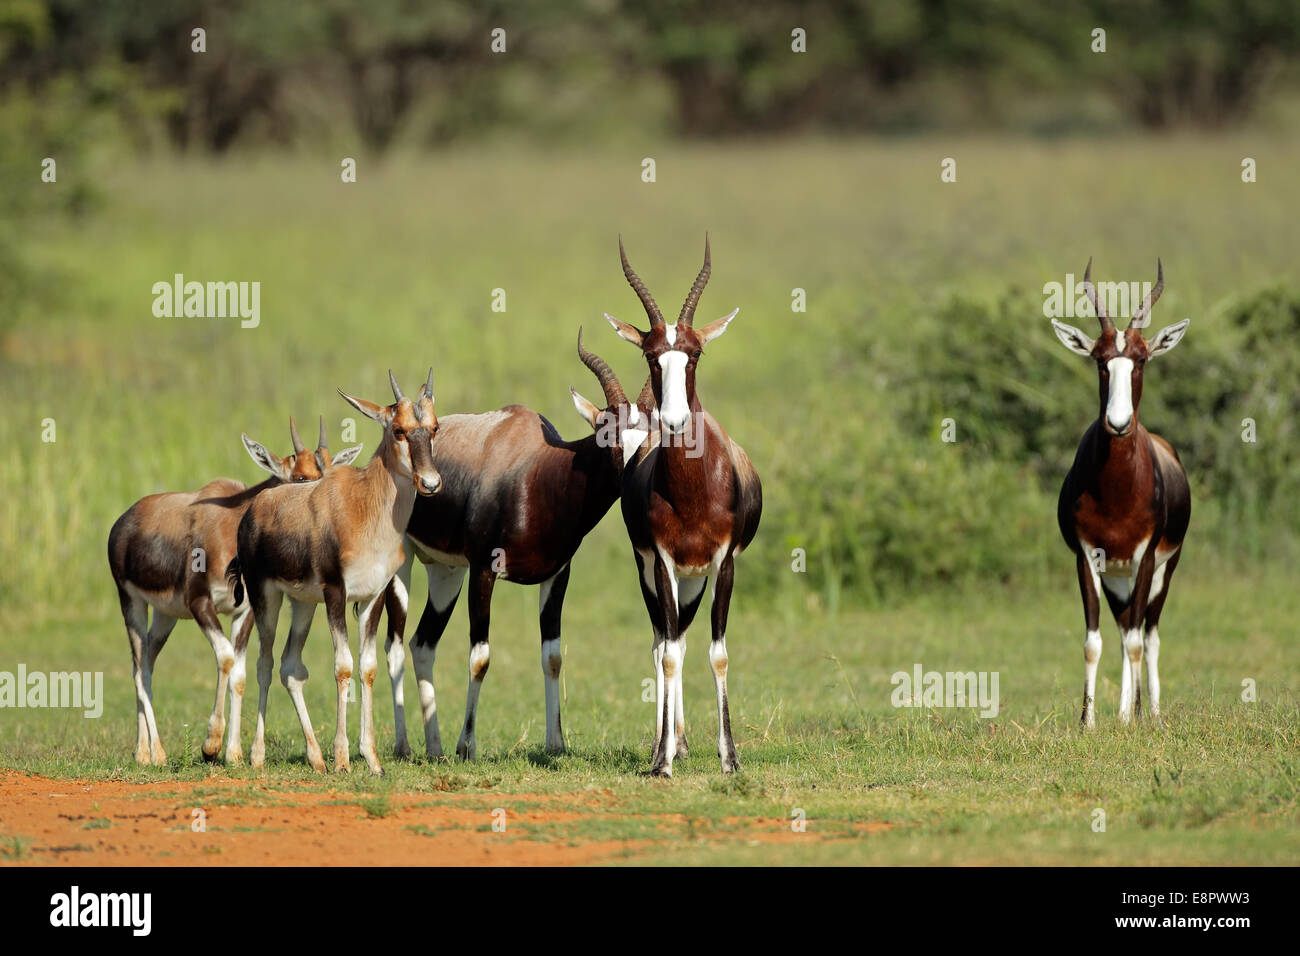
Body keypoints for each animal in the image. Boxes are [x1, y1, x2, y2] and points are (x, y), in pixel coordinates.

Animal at [105, 416, 361, 764]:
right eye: (298, 477)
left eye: (328, 473)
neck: (229, 522)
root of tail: (122, 522)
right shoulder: (200, 603)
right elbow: (225, 658)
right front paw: (211, 745)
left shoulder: (245, 611)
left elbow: (239, 675)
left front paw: (234, 753)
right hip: (130, 601)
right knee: (139, 669)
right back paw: (154, 753)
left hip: (164, 615)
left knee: (145, 663)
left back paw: (142, 750)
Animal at [227, 369, 441, 775]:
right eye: (399, 430)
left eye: (434, 428)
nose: (431, 483)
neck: (362, 505)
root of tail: (255, 508)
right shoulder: (335, 593)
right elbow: (343, 666)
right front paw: (342, 758)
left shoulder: (372, 597)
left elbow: (368, 667)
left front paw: (371, 759)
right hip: (267, 598)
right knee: (263, 662)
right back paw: (256, 756)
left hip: (302, 605)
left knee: (289, 666)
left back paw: (315, 758)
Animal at [379, 335, 655, 764]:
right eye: (606, 432)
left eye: (651, 434)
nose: (632, 487)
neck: (539, 471)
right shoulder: (484, 570)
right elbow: (480, 658)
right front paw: (467, 746)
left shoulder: (557, 576)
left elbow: (552, 656)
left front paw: (556, 743)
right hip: (404, 565)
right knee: (393, 646)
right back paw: (405, 746)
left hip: (446, 573)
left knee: (422, 644)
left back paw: (435, 748)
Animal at [598, 238, 759, 780]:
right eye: (651, 355)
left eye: (694, 353)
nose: (672, 420)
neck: (693, 493)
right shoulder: (664, 563)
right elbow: (667, 654)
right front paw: (664, 761)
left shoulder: (724, 564)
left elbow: (718, 654)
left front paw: (730, 758)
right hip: (656, 575)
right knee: (664, 642)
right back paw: (663, 748)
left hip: (696, 579)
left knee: (684, 640)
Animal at [1050, 257, 1190, 728]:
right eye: (1100, 360)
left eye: (1141, 359)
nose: (1118, 423)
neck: (1116, 494)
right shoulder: (1086, 557)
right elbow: (1093, 641)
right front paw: (1089, 722)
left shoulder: (1145, 557)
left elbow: (1135, 640)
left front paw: (1130, 721)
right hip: (1117, 577)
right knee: (1125, 623)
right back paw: (1131, 709)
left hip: (1160, 571)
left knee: (1147, 633)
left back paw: (1151, 714)